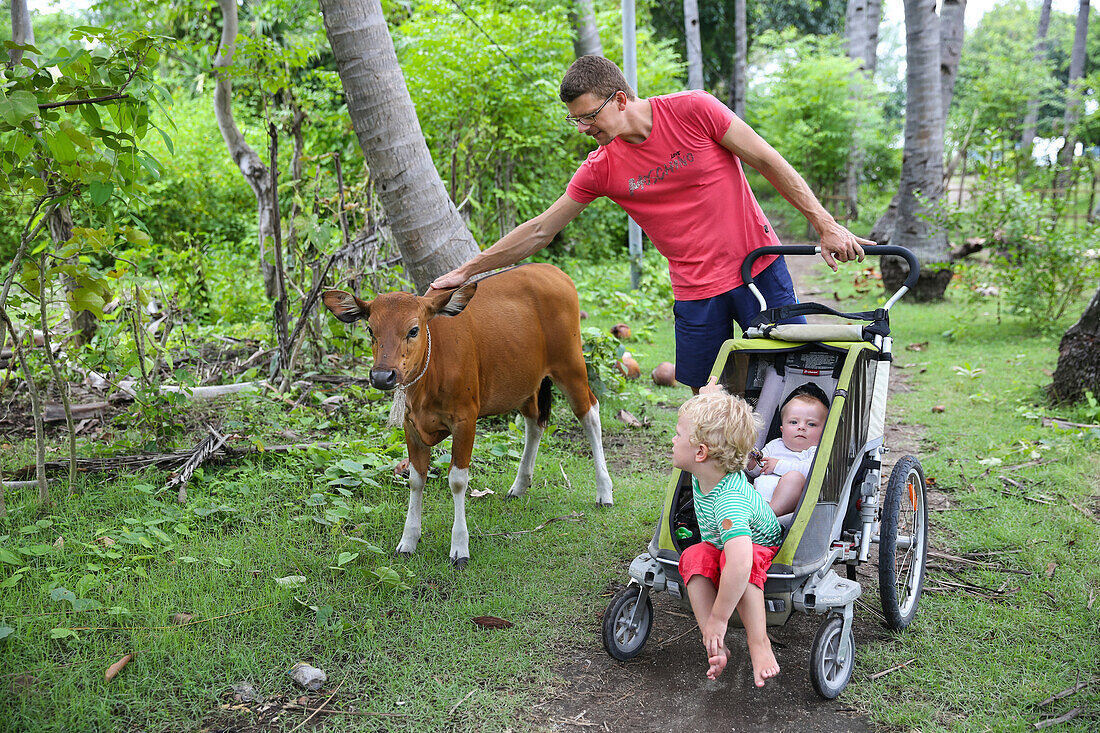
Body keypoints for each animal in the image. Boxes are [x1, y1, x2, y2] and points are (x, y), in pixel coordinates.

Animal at [321, 263, 616, 563]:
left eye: (413, 330)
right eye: (370, 329)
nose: (382, 376)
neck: (431, 374)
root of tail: (553, 270)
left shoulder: (466, 420)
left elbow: (458, 481)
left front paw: (460, 546)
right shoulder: (411, 425)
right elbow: (416, 479)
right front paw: (409, 539)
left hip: (571, 364)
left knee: (590, 414)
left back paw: (604, 490)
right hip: (524, 381)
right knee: (535, 422)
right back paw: (520, 485)